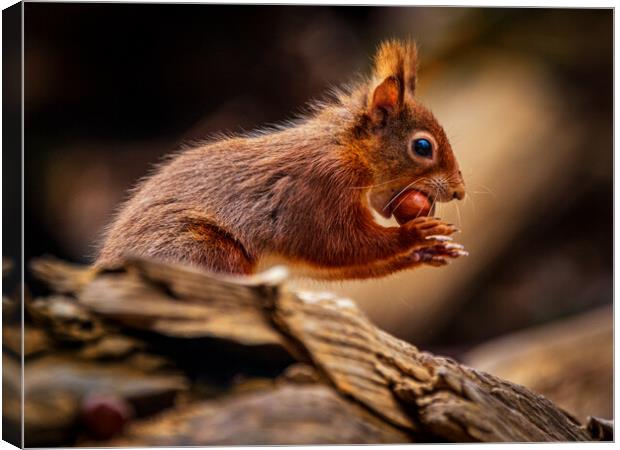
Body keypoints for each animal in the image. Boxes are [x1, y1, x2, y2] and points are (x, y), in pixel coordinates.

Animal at [95, 39, 464, 278]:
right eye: (422, 147)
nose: (459, 191)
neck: (348, 149)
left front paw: (429, 251)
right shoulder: (317, 188)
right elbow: (338, 245)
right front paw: (415, 234)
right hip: (201, 248)